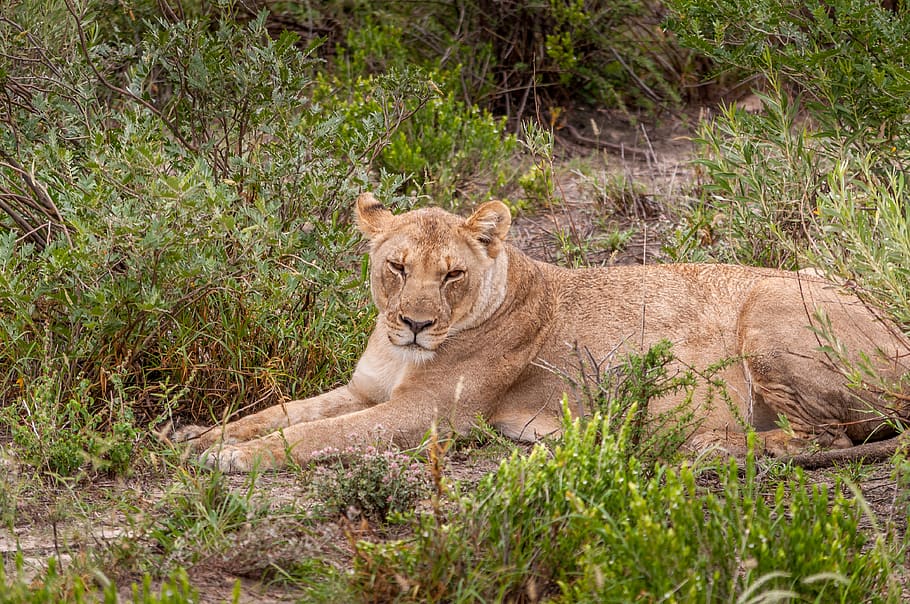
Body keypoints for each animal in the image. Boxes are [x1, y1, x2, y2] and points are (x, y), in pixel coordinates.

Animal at [174, 192, 910, 472]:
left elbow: (314, 435)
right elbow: (281, 412)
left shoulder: (426, 416)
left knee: (827, 438)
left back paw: (702, 446)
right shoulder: (363, 391)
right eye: (397, 266)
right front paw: (196, 437)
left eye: (451, 274)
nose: (415, 323)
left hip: (770, 308)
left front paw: (230, 459)